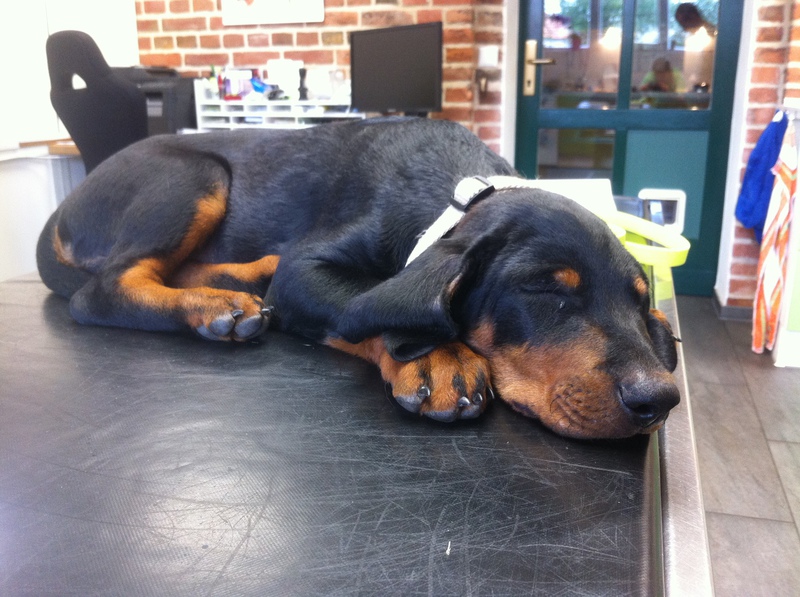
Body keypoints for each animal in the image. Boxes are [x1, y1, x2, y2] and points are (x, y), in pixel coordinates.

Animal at [37, 117, 680, 439]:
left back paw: (241, 280)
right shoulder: (306, 272)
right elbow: (365, 305)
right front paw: (438, 356)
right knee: (99, 290)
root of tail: (67, 204)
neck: (458, 191)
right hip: (196, 175)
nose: (660, 398)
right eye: (545, 288)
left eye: (638, 301)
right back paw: (214, 307)